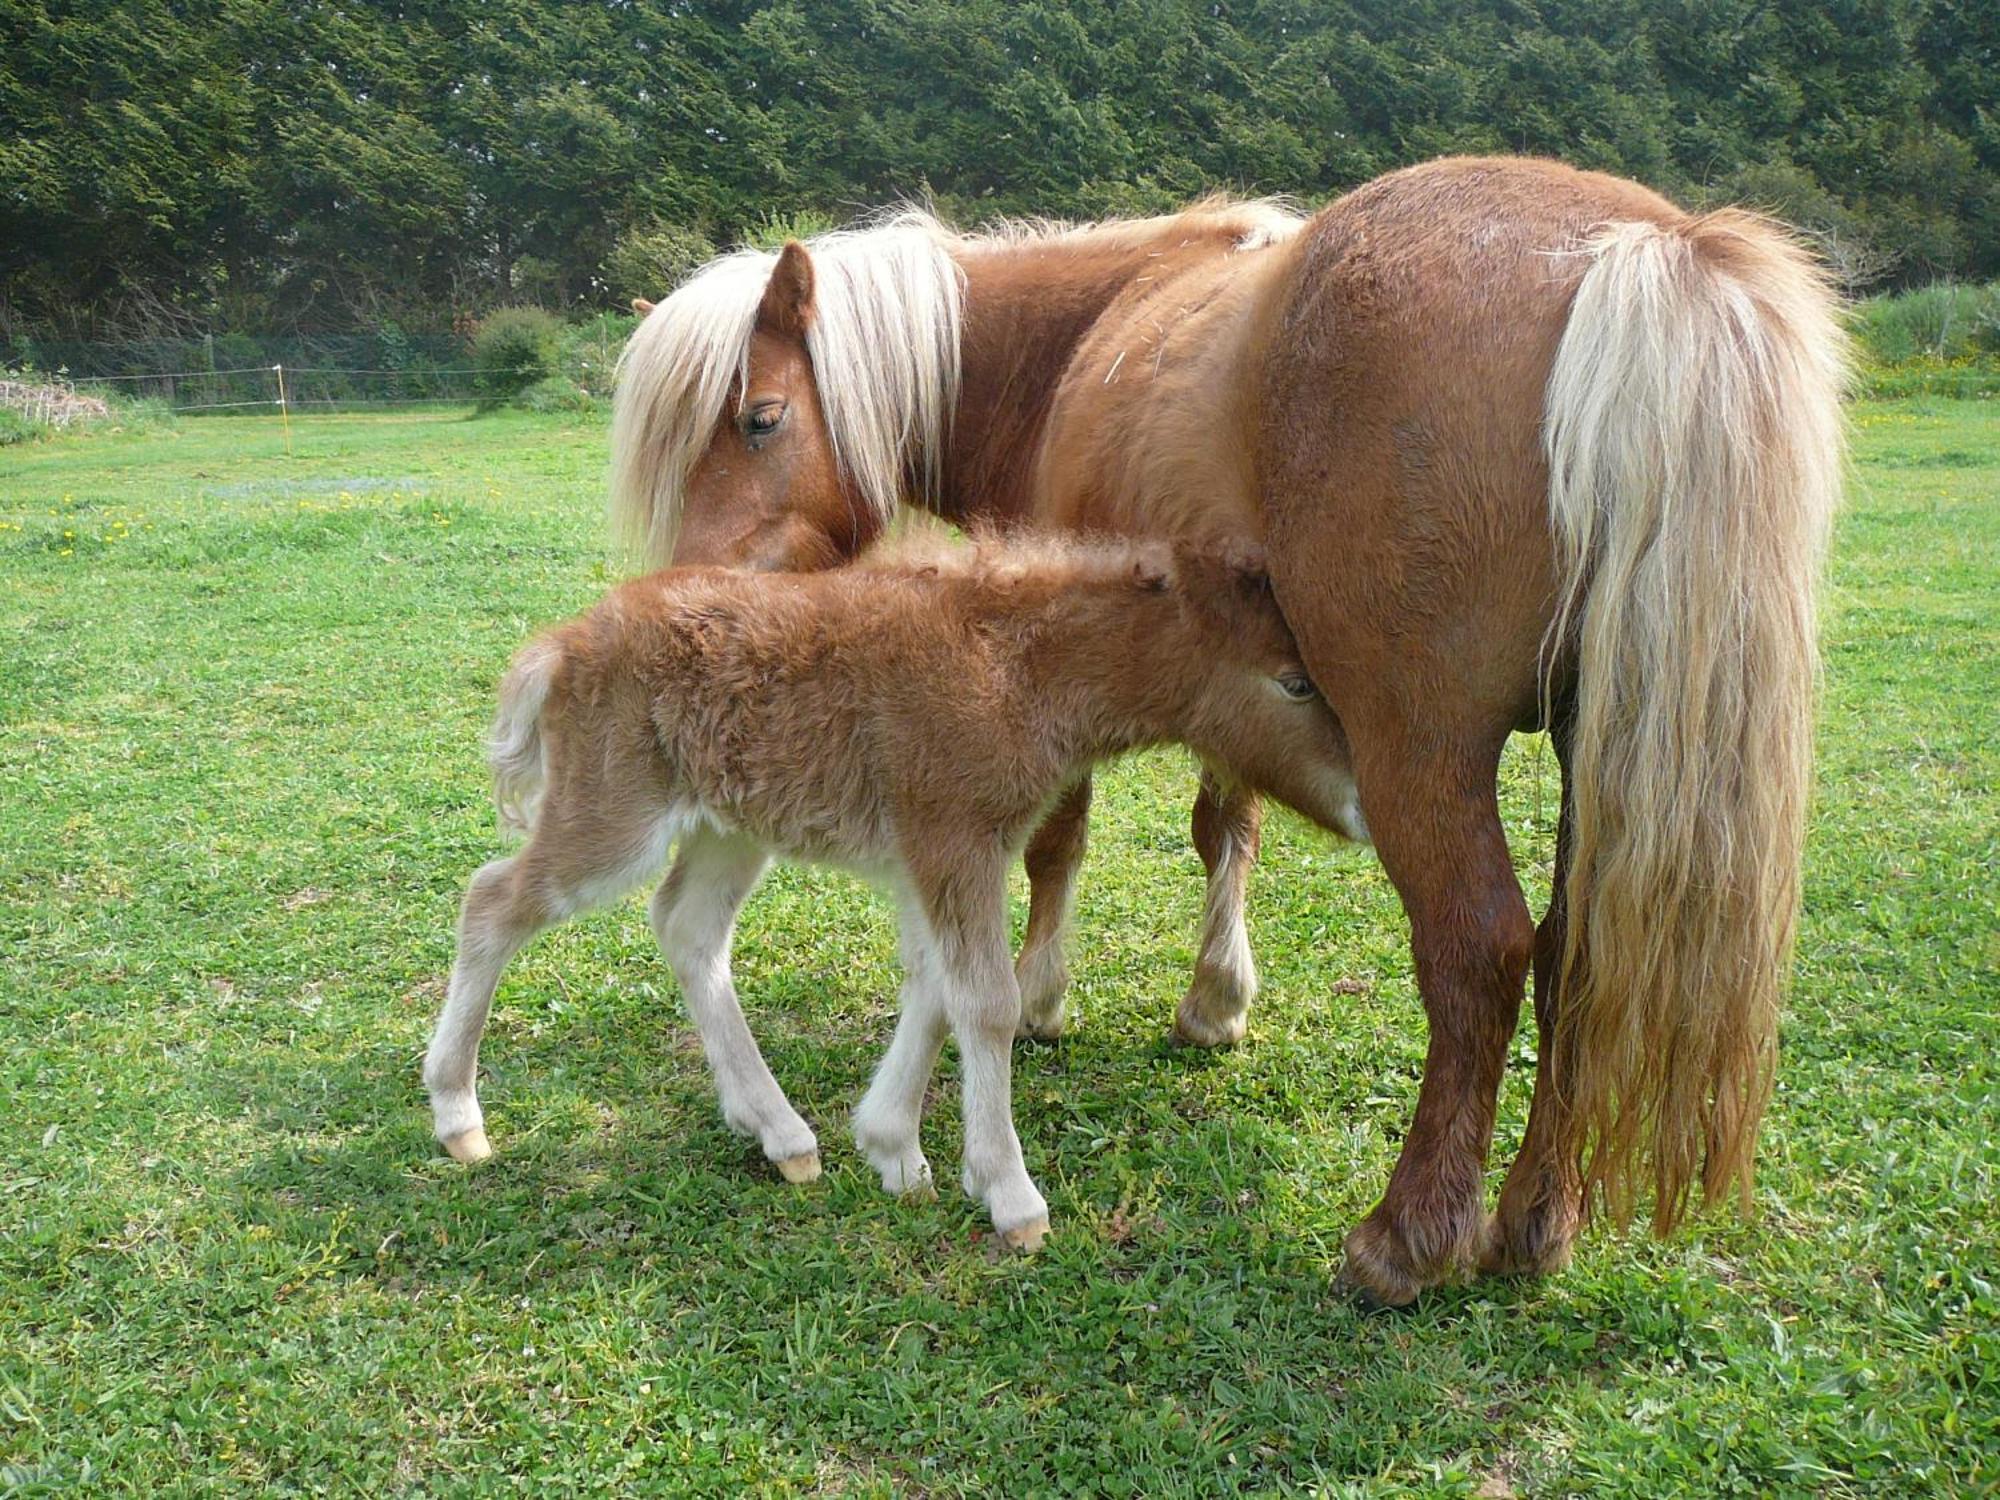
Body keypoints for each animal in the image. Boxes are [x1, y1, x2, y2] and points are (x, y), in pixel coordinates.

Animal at [422, 536, 1360, 1248]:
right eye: (1294, 680)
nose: (1362, 803)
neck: (1017, 669)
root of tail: (565, 641)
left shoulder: (933, 856)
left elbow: (934, 989)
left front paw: (891, 1148)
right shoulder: (954, 838)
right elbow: (986, 1001)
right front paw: (1009, 1194)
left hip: (731, 827)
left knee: (687, 928)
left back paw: (779, 1132)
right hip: (614, 812)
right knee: (494, 899)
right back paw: (458, 1114)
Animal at [604, 156, 1840, 1304]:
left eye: (759, 418)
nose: (682, 602)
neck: (1067, 351)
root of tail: (1643, 249)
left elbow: (1058, 840)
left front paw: (1042, 994)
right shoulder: (1233, 670)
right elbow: (1224, 825)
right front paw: (1214, 1002)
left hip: (1422, 751)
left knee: (1481, 950)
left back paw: (1405, 1239)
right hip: (1599, 758)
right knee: (1574, 957)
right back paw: (1535, 1222)